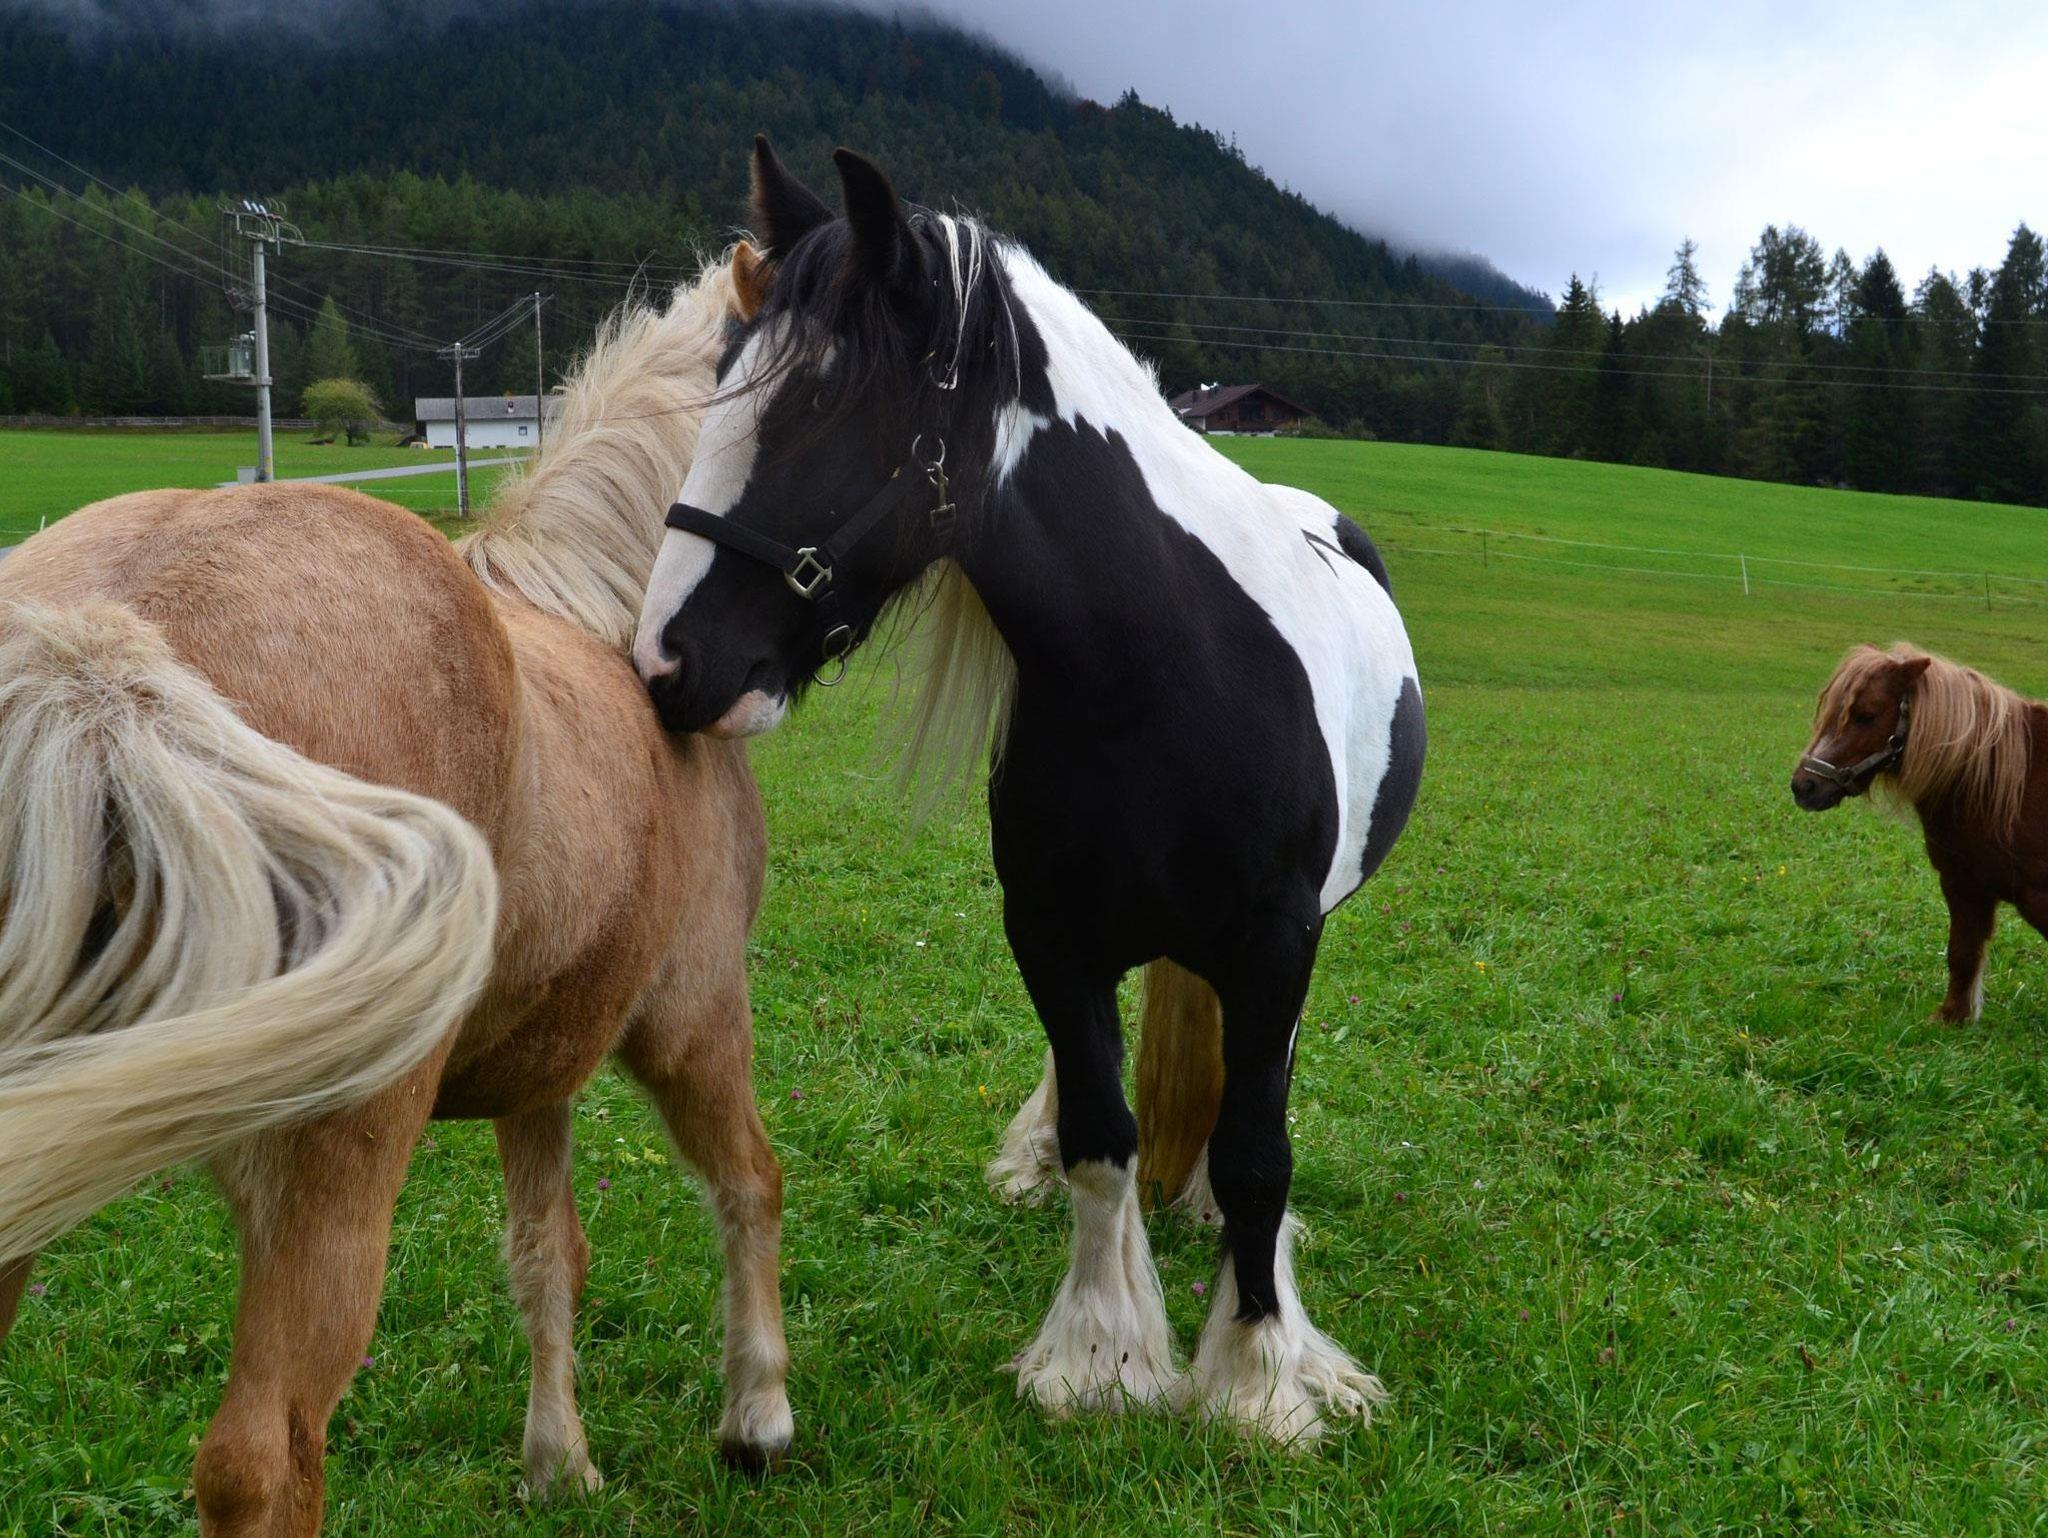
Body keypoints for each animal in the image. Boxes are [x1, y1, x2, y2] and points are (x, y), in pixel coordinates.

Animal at [0, 245, 789, 1534]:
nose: (732, 686)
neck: (594, 609)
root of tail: (101, 650)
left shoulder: (538, 1067)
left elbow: (546, 1254)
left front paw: (557, 1462)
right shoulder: (690, 1020)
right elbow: (746, 1183)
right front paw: (757, 1417)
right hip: (341, 1161)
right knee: (263, 1457)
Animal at [633, 139, 1425, 1444]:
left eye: (826, 402)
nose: (664, 663)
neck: (1166, 668)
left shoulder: (1276, 942)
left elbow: (1258, 1149)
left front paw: (1259, 1374)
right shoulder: (1049, 935)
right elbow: (1105, 1138)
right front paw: (1101, 1355)